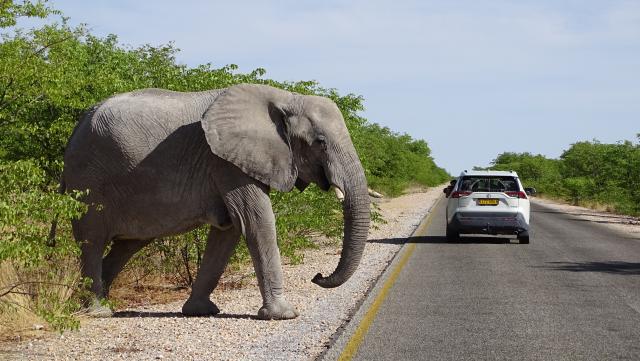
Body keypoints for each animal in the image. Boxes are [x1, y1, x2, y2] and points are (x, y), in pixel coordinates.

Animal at [61, 83, 370, 318]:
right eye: (320, 142)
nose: (317, 276)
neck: (285, 97)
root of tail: (78, 125)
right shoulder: (226, 163)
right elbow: (255, 221)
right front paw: (284, 315)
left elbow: (228, 230)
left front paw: (200, 311)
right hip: (88, 182)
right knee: (92, 241)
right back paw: (99, 311)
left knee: (127, 245)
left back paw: (100, 302)